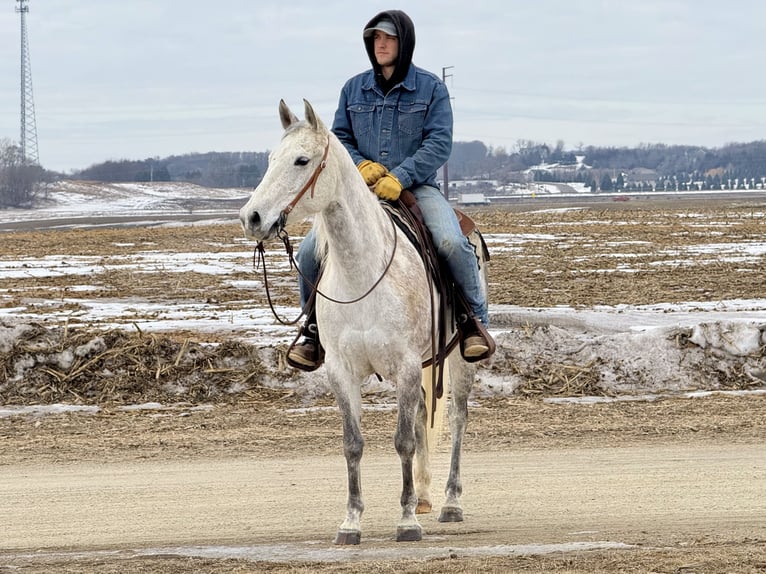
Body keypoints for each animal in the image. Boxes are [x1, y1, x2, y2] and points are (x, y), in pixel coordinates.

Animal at [239, 99, 488, 545]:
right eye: (270, 160)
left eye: (302, 160)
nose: (252, 217)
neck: (362, 271)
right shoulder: (342, 370)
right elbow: (353, 444)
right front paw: (351, 522)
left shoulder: (405, 364)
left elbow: (403, 441)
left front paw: (406, 522)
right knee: (422, 414)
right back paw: (423, 498)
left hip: (457, 359)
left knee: (457, 417)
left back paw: (449, 502)